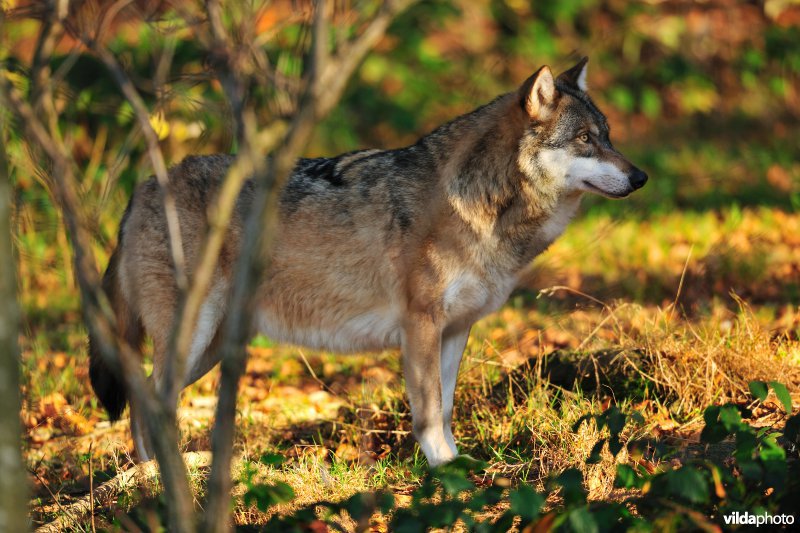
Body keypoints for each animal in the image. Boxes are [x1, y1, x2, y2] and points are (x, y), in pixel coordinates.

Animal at [89, 58, 647, 466]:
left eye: (609, 135)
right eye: (585, 139)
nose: (640, 176)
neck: (477, 205)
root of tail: (142, 187)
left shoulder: (455, 329)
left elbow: (445, 407)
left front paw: (457, 467)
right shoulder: (420, 325)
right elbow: (427, 413)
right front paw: (444, 473)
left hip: (209, 349)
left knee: (145, 402)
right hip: (193, 338)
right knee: (147, 404)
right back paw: (154, 480)